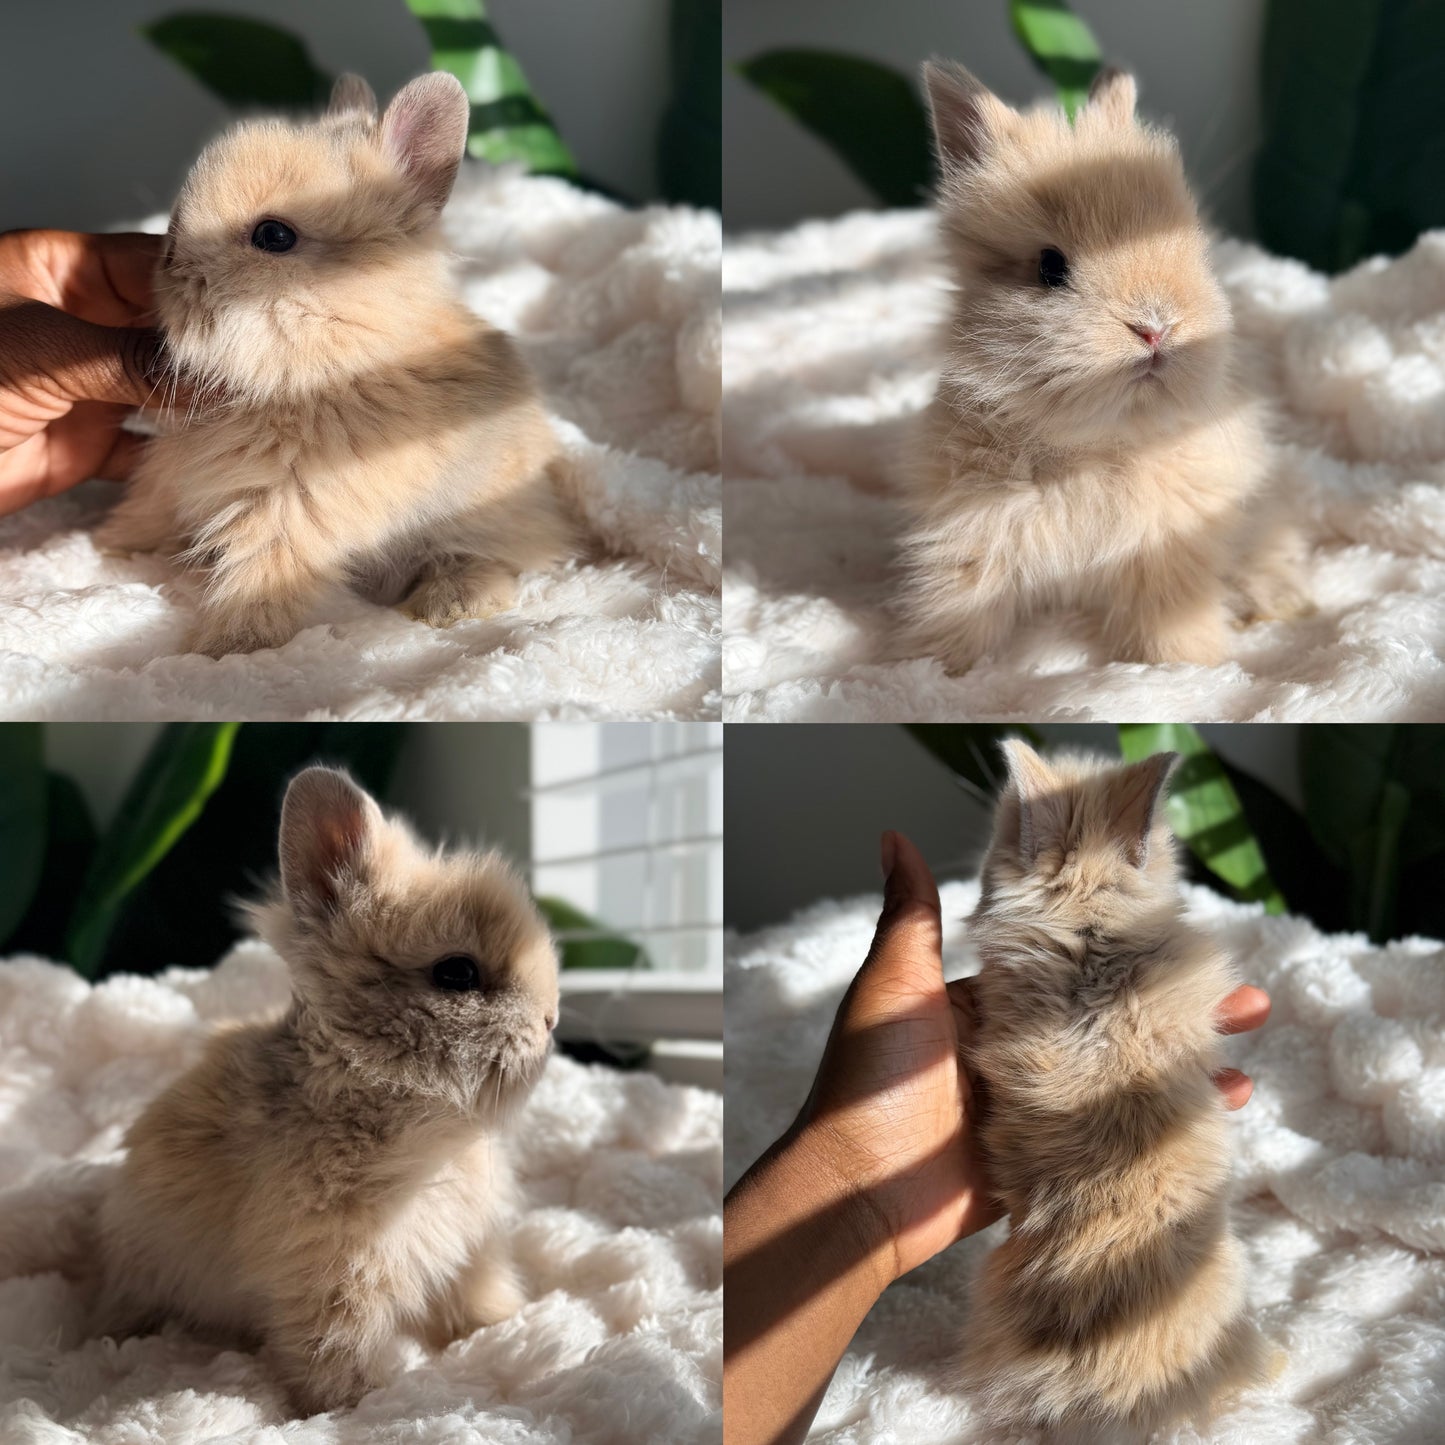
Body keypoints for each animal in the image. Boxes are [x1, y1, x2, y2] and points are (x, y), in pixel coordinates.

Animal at [93, 765, 560, 1417]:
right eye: (457, 973)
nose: (551, 1020)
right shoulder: (330, 1274)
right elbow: (334, 1346)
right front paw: (360, 1404)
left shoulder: (471, 1251)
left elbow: (475, 1297)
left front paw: (504, 1324)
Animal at [96, 71, 580, 657]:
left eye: (274, 236)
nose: (169, 268)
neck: (331, 365)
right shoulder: (173, 475)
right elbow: (153, 507)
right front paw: (114, 544)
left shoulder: (295, 507)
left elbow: (263, 573)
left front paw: (226, 648)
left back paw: (452, 602)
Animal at [895, 61, 1309, 675]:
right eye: (1049, 267)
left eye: (1194, 251)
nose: (1156, 327)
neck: (1088, 448)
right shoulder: (968, 542)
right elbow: (960, 607)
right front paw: (937, 671)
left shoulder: (1171, 550)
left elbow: (1168, 617)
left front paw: (1187, 665)